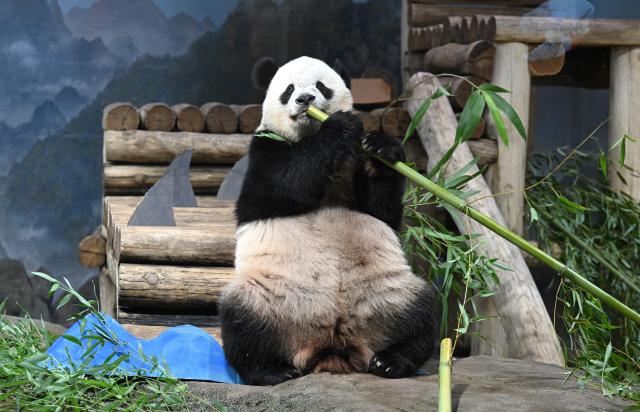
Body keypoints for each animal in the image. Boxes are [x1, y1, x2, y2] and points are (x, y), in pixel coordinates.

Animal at [219, 56, 436, 386]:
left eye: (322, 86)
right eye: (288, 89)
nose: (305, 100)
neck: (309, 135)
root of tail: (331, 346)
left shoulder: (356, 165)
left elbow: (382, 210)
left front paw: (381, 147)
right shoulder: (263, 152)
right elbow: (287, 182)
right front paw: (339, 126)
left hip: (386, 293)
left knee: (420, 314)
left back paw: (390, 361)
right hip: (269, 298)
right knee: (242, 324)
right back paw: (271, 370)